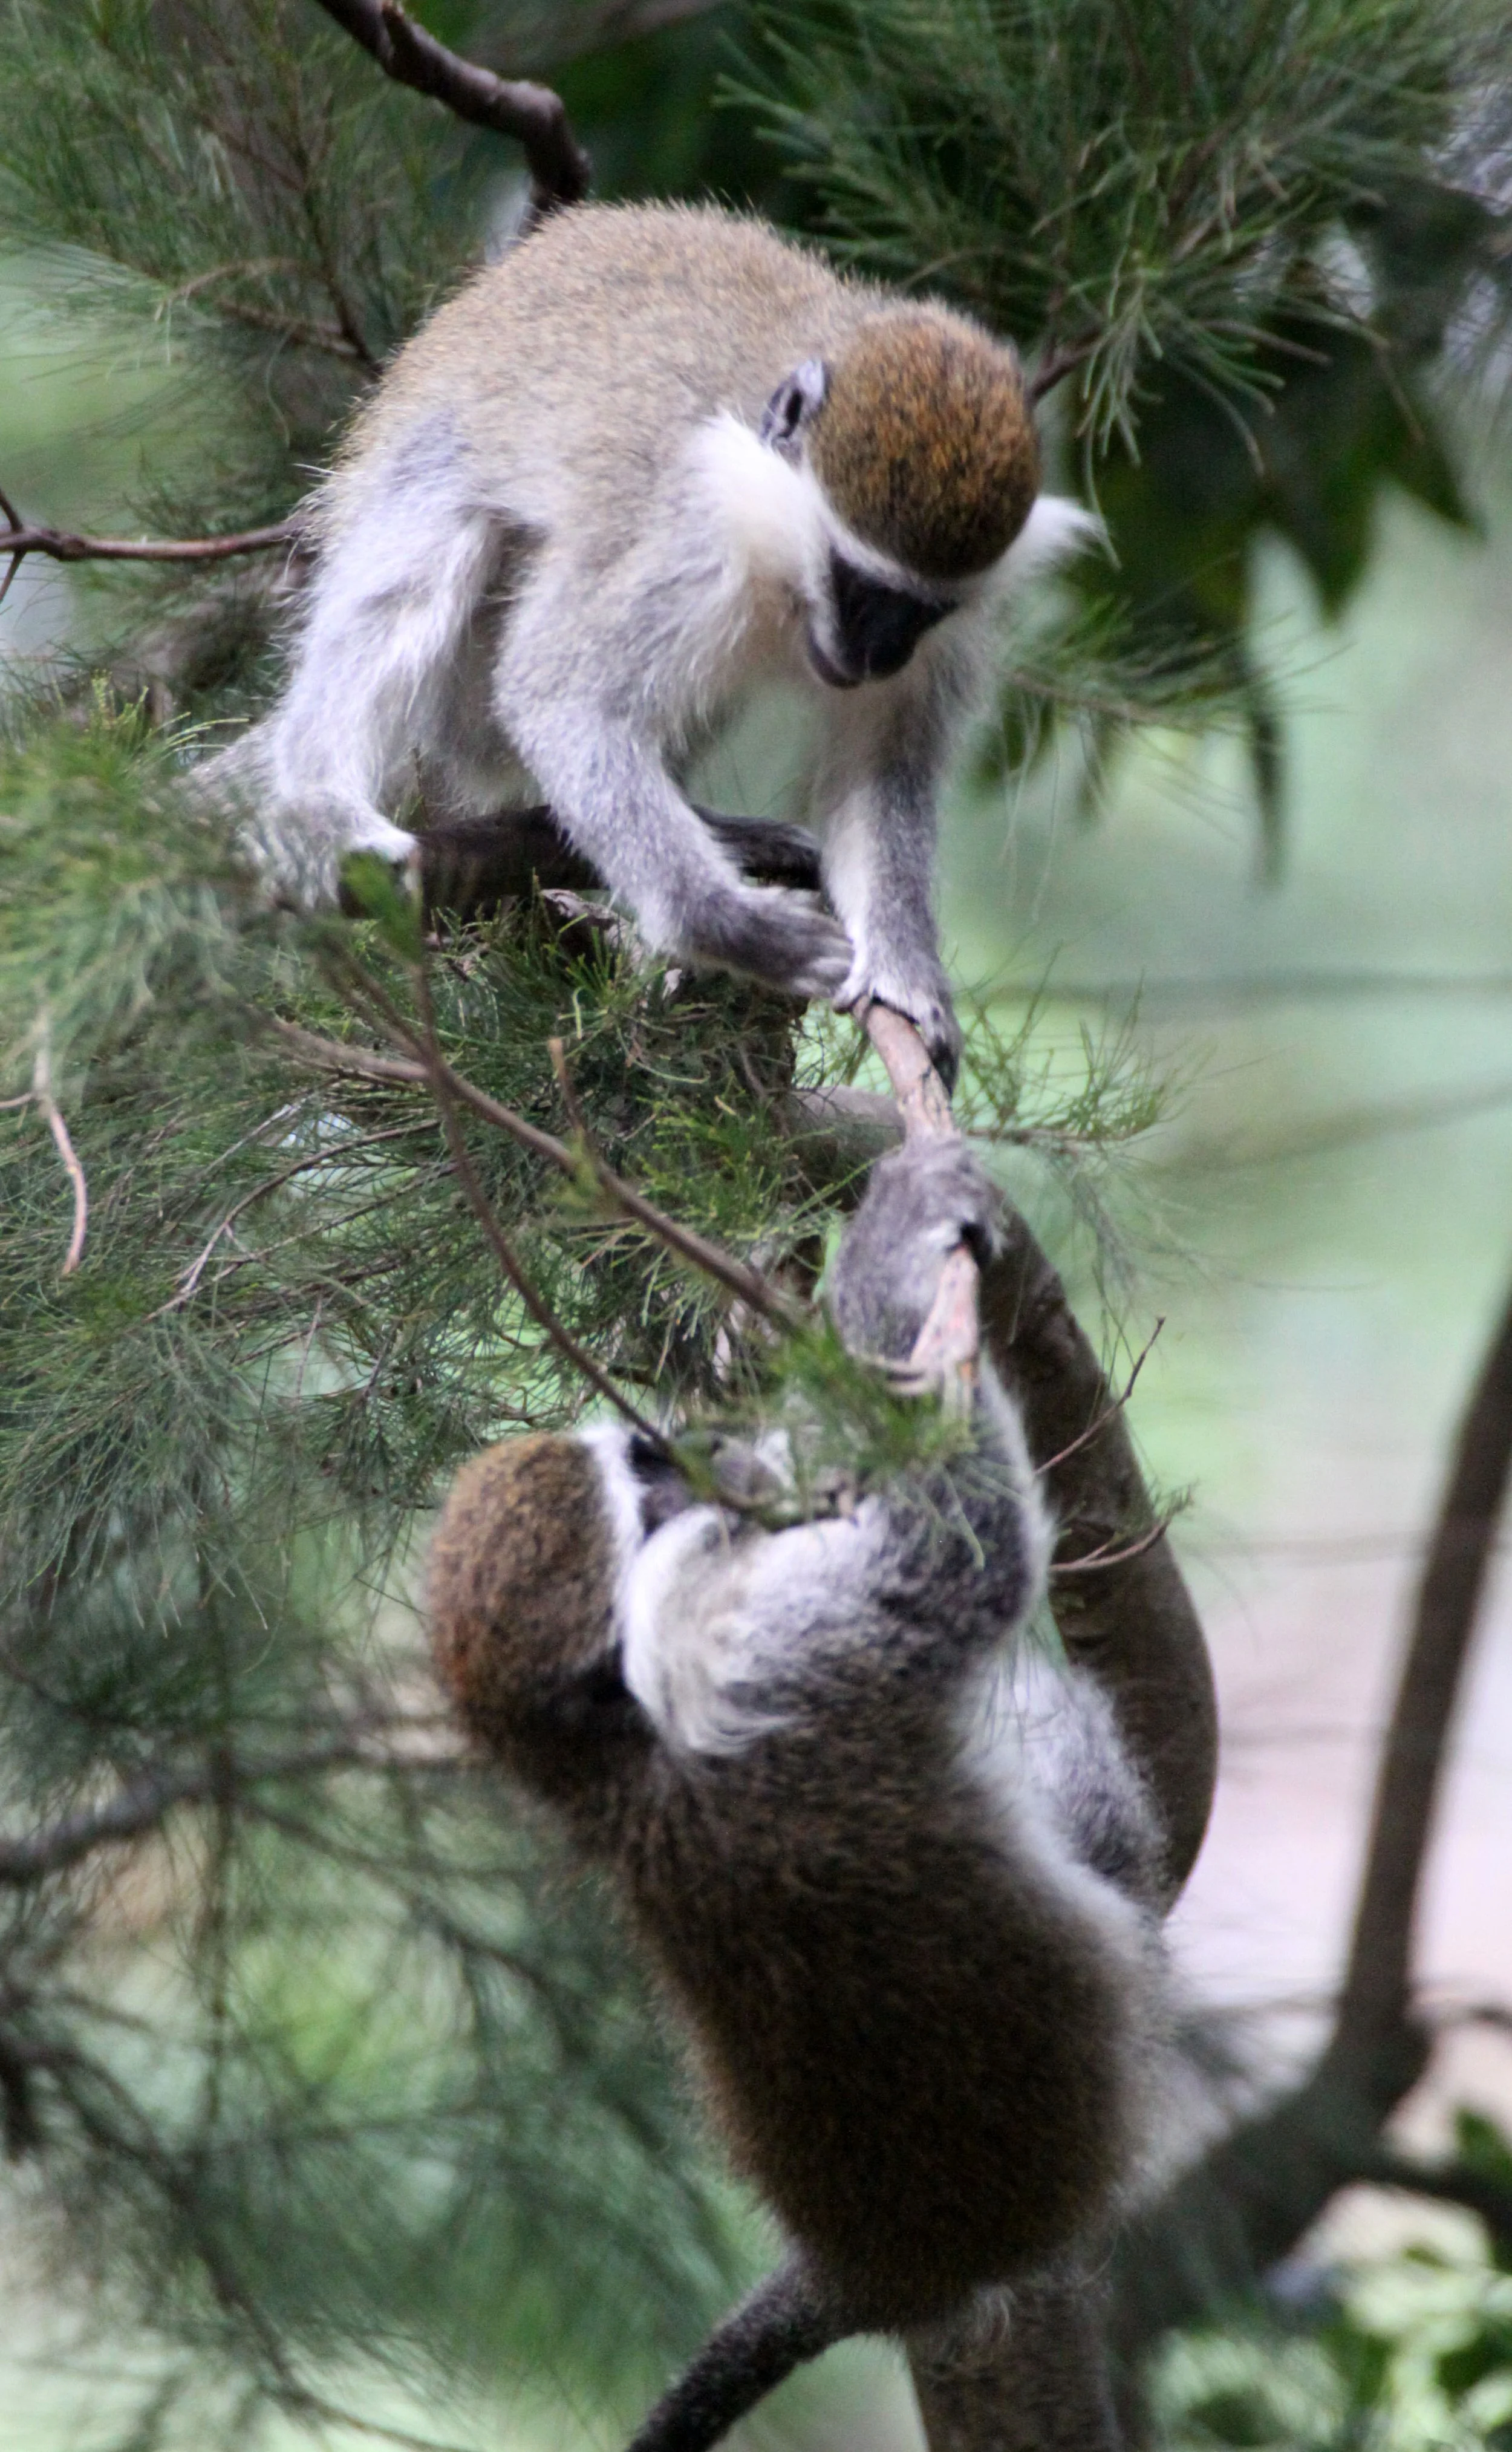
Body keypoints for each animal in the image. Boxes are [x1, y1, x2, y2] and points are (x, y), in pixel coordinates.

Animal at [209, 202, 1096, 1088]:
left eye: (919, 611)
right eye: (858, 586)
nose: (877, 658)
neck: (774, 555)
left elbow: (884, 770)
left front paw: (906, 973)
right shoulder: (686, 544)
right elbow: (559, 694)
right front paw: (732, 928)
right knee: (426, 548)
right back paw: (321, 804)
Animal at [426, 1139, 1171, 2452]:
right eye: (645, 1477)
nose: (696, 1448)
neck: (612, 1754)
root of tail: (872, 2270)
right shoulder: (765, 1647)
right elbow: (960, 1537)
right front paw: (892, 1248)